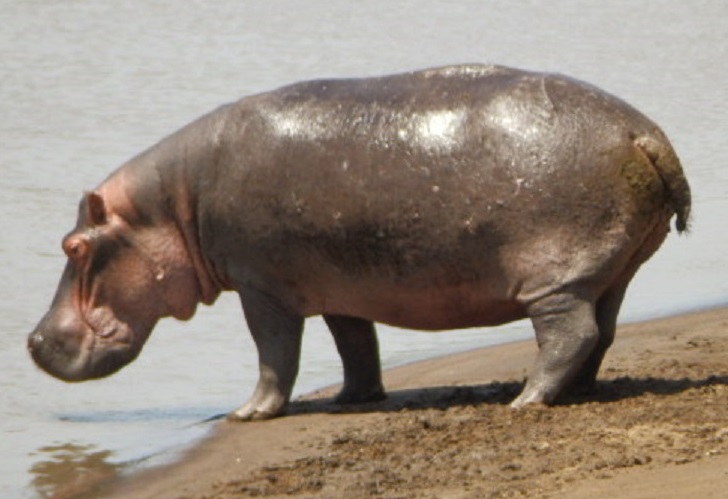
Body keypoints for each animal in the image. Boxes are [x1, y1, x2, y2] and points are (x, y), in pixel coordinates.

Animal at [28, 64, 691, 420]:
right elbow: (355, 344)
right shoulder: (338, 286)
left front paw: (248, 413)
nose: (32, 340)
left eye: (72, 247)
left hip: (556, 278)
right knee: (602, 330)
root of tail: (643, 133)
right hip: (611, 269)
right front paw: (353, 399)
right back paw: (569, 392)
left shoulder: (261, 287)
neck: (172, 205)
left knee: (569, 333)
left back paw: (525, 401)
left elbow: (274, 353)